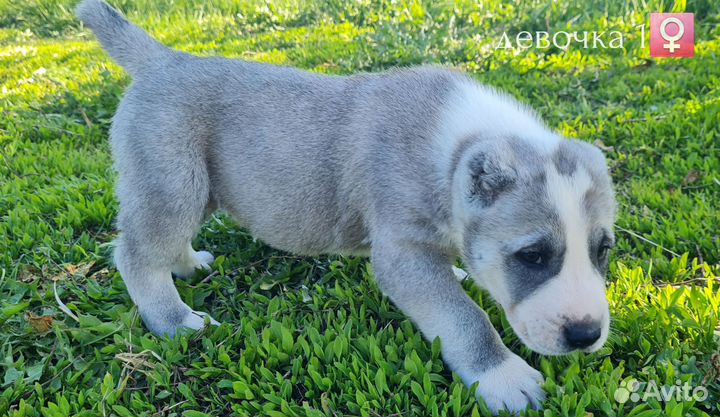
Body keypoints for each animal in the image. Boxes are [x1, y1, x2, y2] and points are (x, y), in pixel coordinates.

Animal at [76, 0, 616, 410]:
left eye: (603, 251)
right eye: (532, 256)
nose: (586, 335)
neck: (456, 148)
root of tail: (163, 59)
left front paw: (460, 271)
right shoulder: (401, 257)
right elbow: (465, 318)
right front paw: (503, 377)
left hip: (194, 189)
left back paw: (188, 264)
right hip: (173, 181)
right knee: (136, 254)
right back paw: (174, 320)